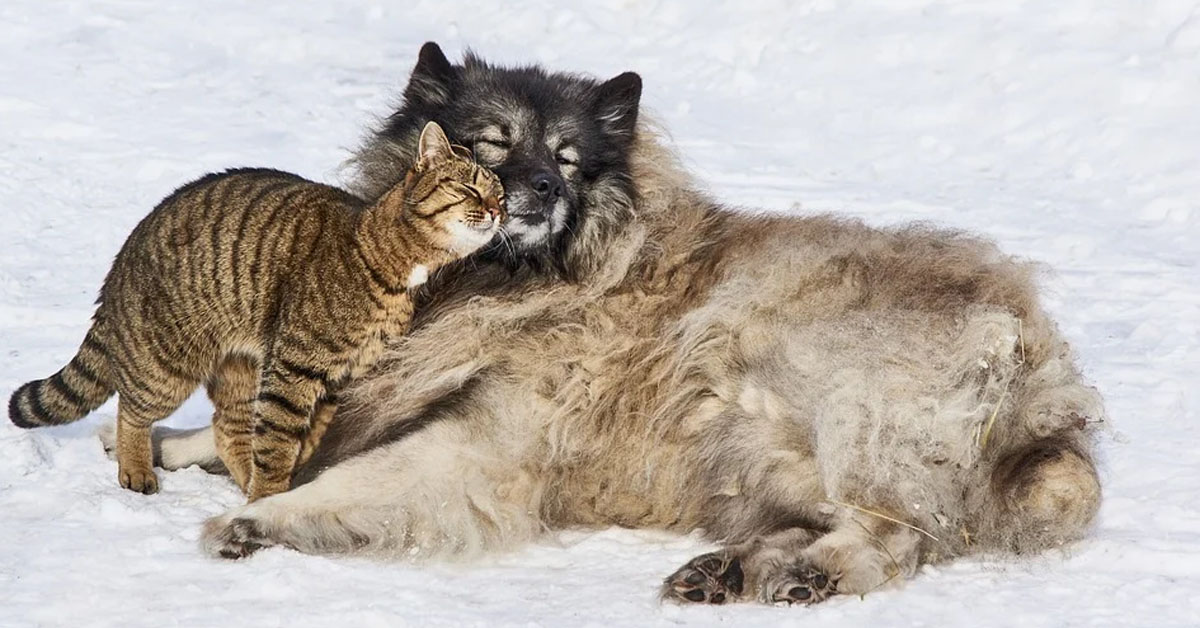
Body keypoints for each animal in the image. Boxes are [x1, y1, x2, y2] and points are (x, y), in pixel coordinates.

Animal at [5, 120, 501, 501]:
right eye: (468, 187)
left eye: (499, 194)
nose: (498, 211)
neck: (390, 263)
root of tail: (119, 264)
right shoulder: (294, 369)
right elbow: (279, 442)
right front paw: (267, 497)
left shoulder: (338, 379)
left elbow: (304, 437)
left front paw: (279, 483)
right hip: (168, 366)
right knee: (132, 409)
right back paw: (137, 469)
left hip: (240, 367)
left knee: (226, 427)